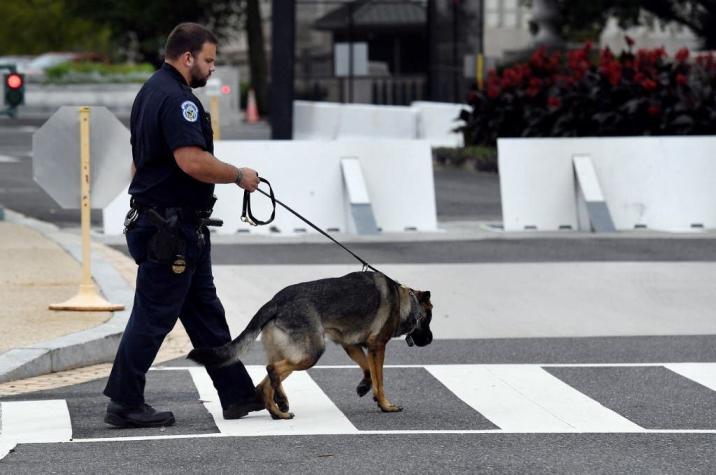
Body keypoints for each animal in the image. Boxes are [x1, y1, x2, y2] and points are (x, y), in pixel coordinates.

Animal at [189, 272, 430, 420]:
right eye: (428, 318)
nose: (429, 341)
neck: (404, 299)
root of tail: (275, 301)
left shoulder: (351, 345)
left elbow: (368, 370)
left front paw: (364, 387)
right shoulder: (377, 347)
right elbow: (379, 380)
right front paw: (385, 405)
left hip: (293, 354)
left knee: (265, 384)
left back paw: (279, 411)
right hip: (310, 353)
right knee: (272, 370)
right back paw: (281, 402)